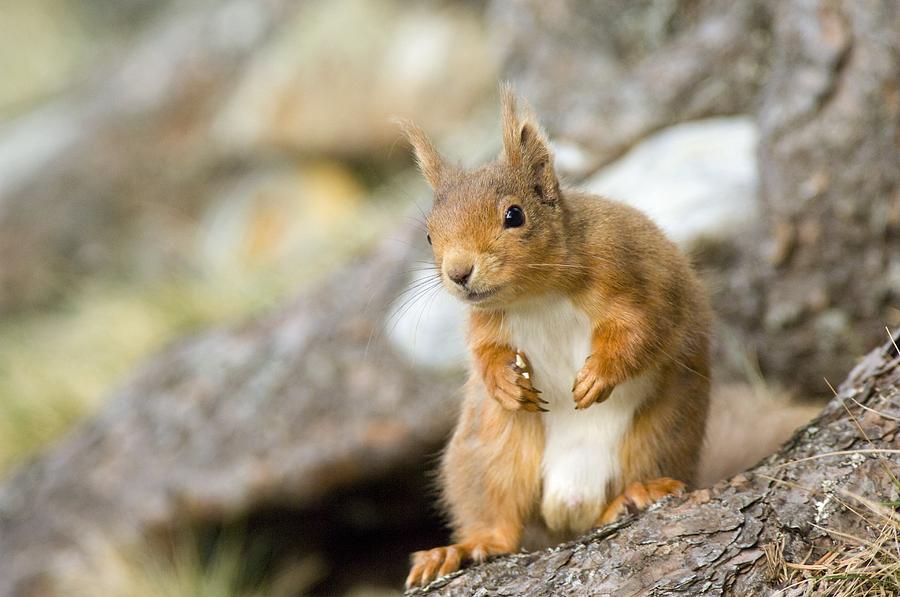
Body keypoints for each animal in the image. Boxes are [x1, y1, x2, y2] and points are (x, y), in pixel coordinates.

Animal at [398, 86, 712, 588]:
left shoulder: (634, 277)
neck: (537, 295)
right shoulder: (486, 323)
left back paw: (638, 493)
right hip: (489, 457)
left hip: (659, 434)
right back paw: (460, 549)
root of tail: (569, 502)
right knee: (498, 524)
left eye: (514, 215)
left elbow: (640, 332)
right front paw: (505, 383)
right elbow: (484, 355)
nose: (458, 273)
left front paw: (596, 377)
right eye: (429, 235)